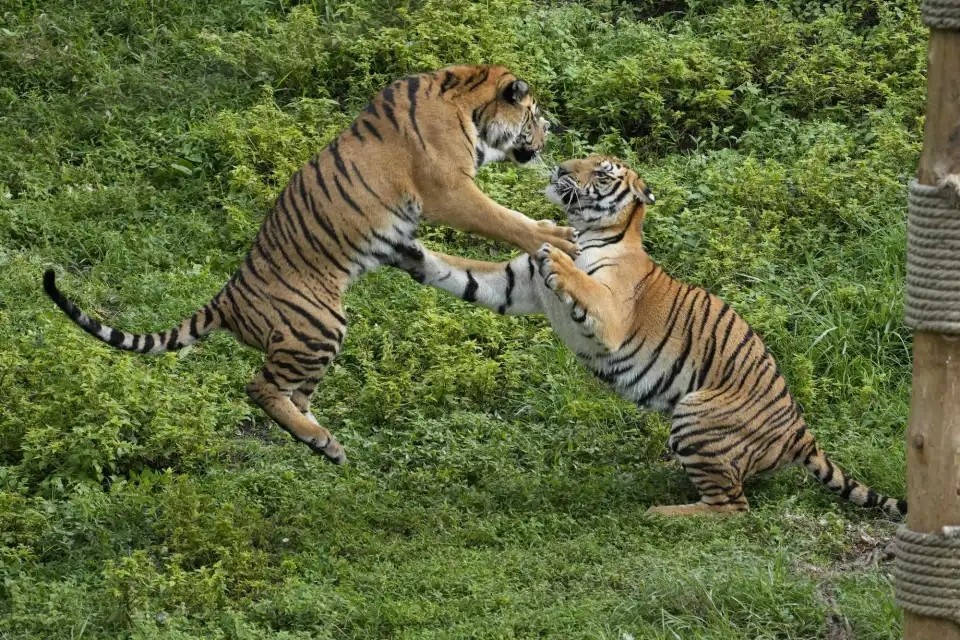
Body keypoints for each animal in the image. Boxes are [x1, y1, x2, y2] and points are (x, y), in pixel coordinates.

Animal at [43, 64, 579, 464]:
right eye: (533, 115)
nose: (547, 138)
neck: (466, 103)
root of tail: (226, 296)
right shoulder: (450, 190)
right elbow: (503, 218)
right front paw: (553, 235)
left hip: (315, 338)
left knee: (293, 394)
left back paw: (322, 440)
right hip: (318, 324)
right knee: (259, 387)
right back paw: (321, 440)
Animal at [394, 155, 907, 518]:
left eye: (601, 172)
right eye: (581, 156)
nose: (560, 168)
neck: (589, 228)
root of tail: (800, 430)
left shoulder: (610, 314)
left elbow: (577, 280)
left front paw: (558, 255)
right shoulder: (514, 286)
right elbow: (460, 272)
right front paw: (408, 250)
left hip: (697, 411)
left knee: (733, 507)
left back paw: (660, 511)